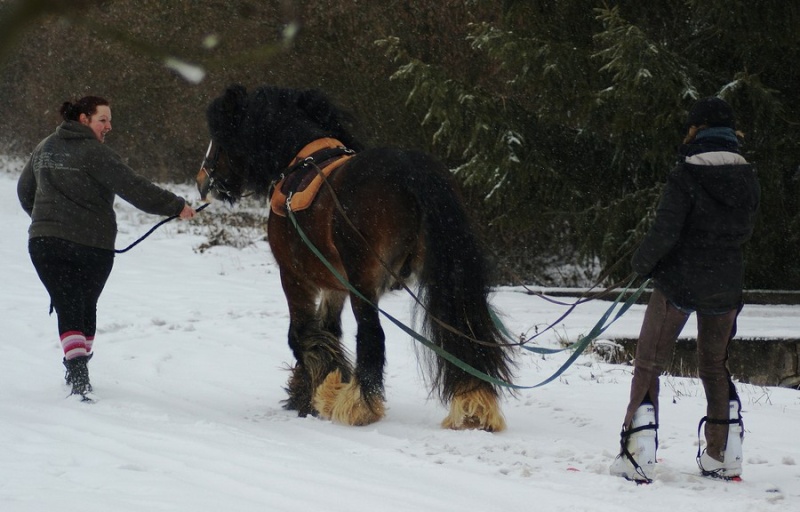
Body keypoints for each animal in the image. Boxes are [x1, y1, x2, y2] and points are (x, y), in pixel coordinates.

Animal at [197, 85, 516, 432]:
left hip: (364, 284)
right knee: (462, 333)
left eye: (220, 134)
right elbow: (327, 331)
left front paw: (315, 392)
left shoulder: (294, 277)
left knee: (371, 336)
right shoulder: (334, 284)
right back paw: (475, 403)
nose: (203, 181)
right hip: (444, 277)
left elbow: (302, 334)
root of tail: (410, 172)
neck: (298, 164)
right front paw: (314, 386)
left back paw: (358, 405)